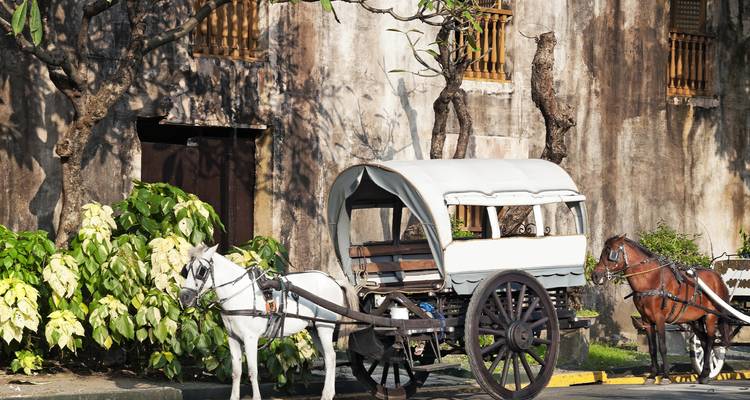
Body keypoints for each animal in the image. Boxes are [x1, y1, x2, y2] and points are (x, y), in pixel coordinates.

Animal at [177, 244, 345, 400]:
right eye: (186, 269)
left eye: (201, 270)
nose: (184, 297)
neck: (239, 293)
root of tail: (333, 281)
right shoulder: (233, 338)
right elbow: (236, 372)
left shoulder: (250, 338)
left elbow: (252, 371)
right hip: (314, 329)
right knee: (329, 357)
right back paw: (329, 393)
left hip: (324, 327)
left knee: (331, 357)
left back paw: (327, 394)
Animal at [591, 234, 730, 385]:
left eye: (611, 253)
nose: (595, 276)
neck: (652, 280)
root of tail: (717, 278)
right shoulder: (646, 321)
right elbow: (652, 349)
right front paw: (653, 375)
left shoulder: (660, 318)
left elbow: (663, 347)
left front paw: (666, 376)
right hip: (696, 320)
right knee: (704, 342)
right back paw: (705, 373)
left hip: (710, 316)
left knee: (711, 341)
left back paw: (705, 374)